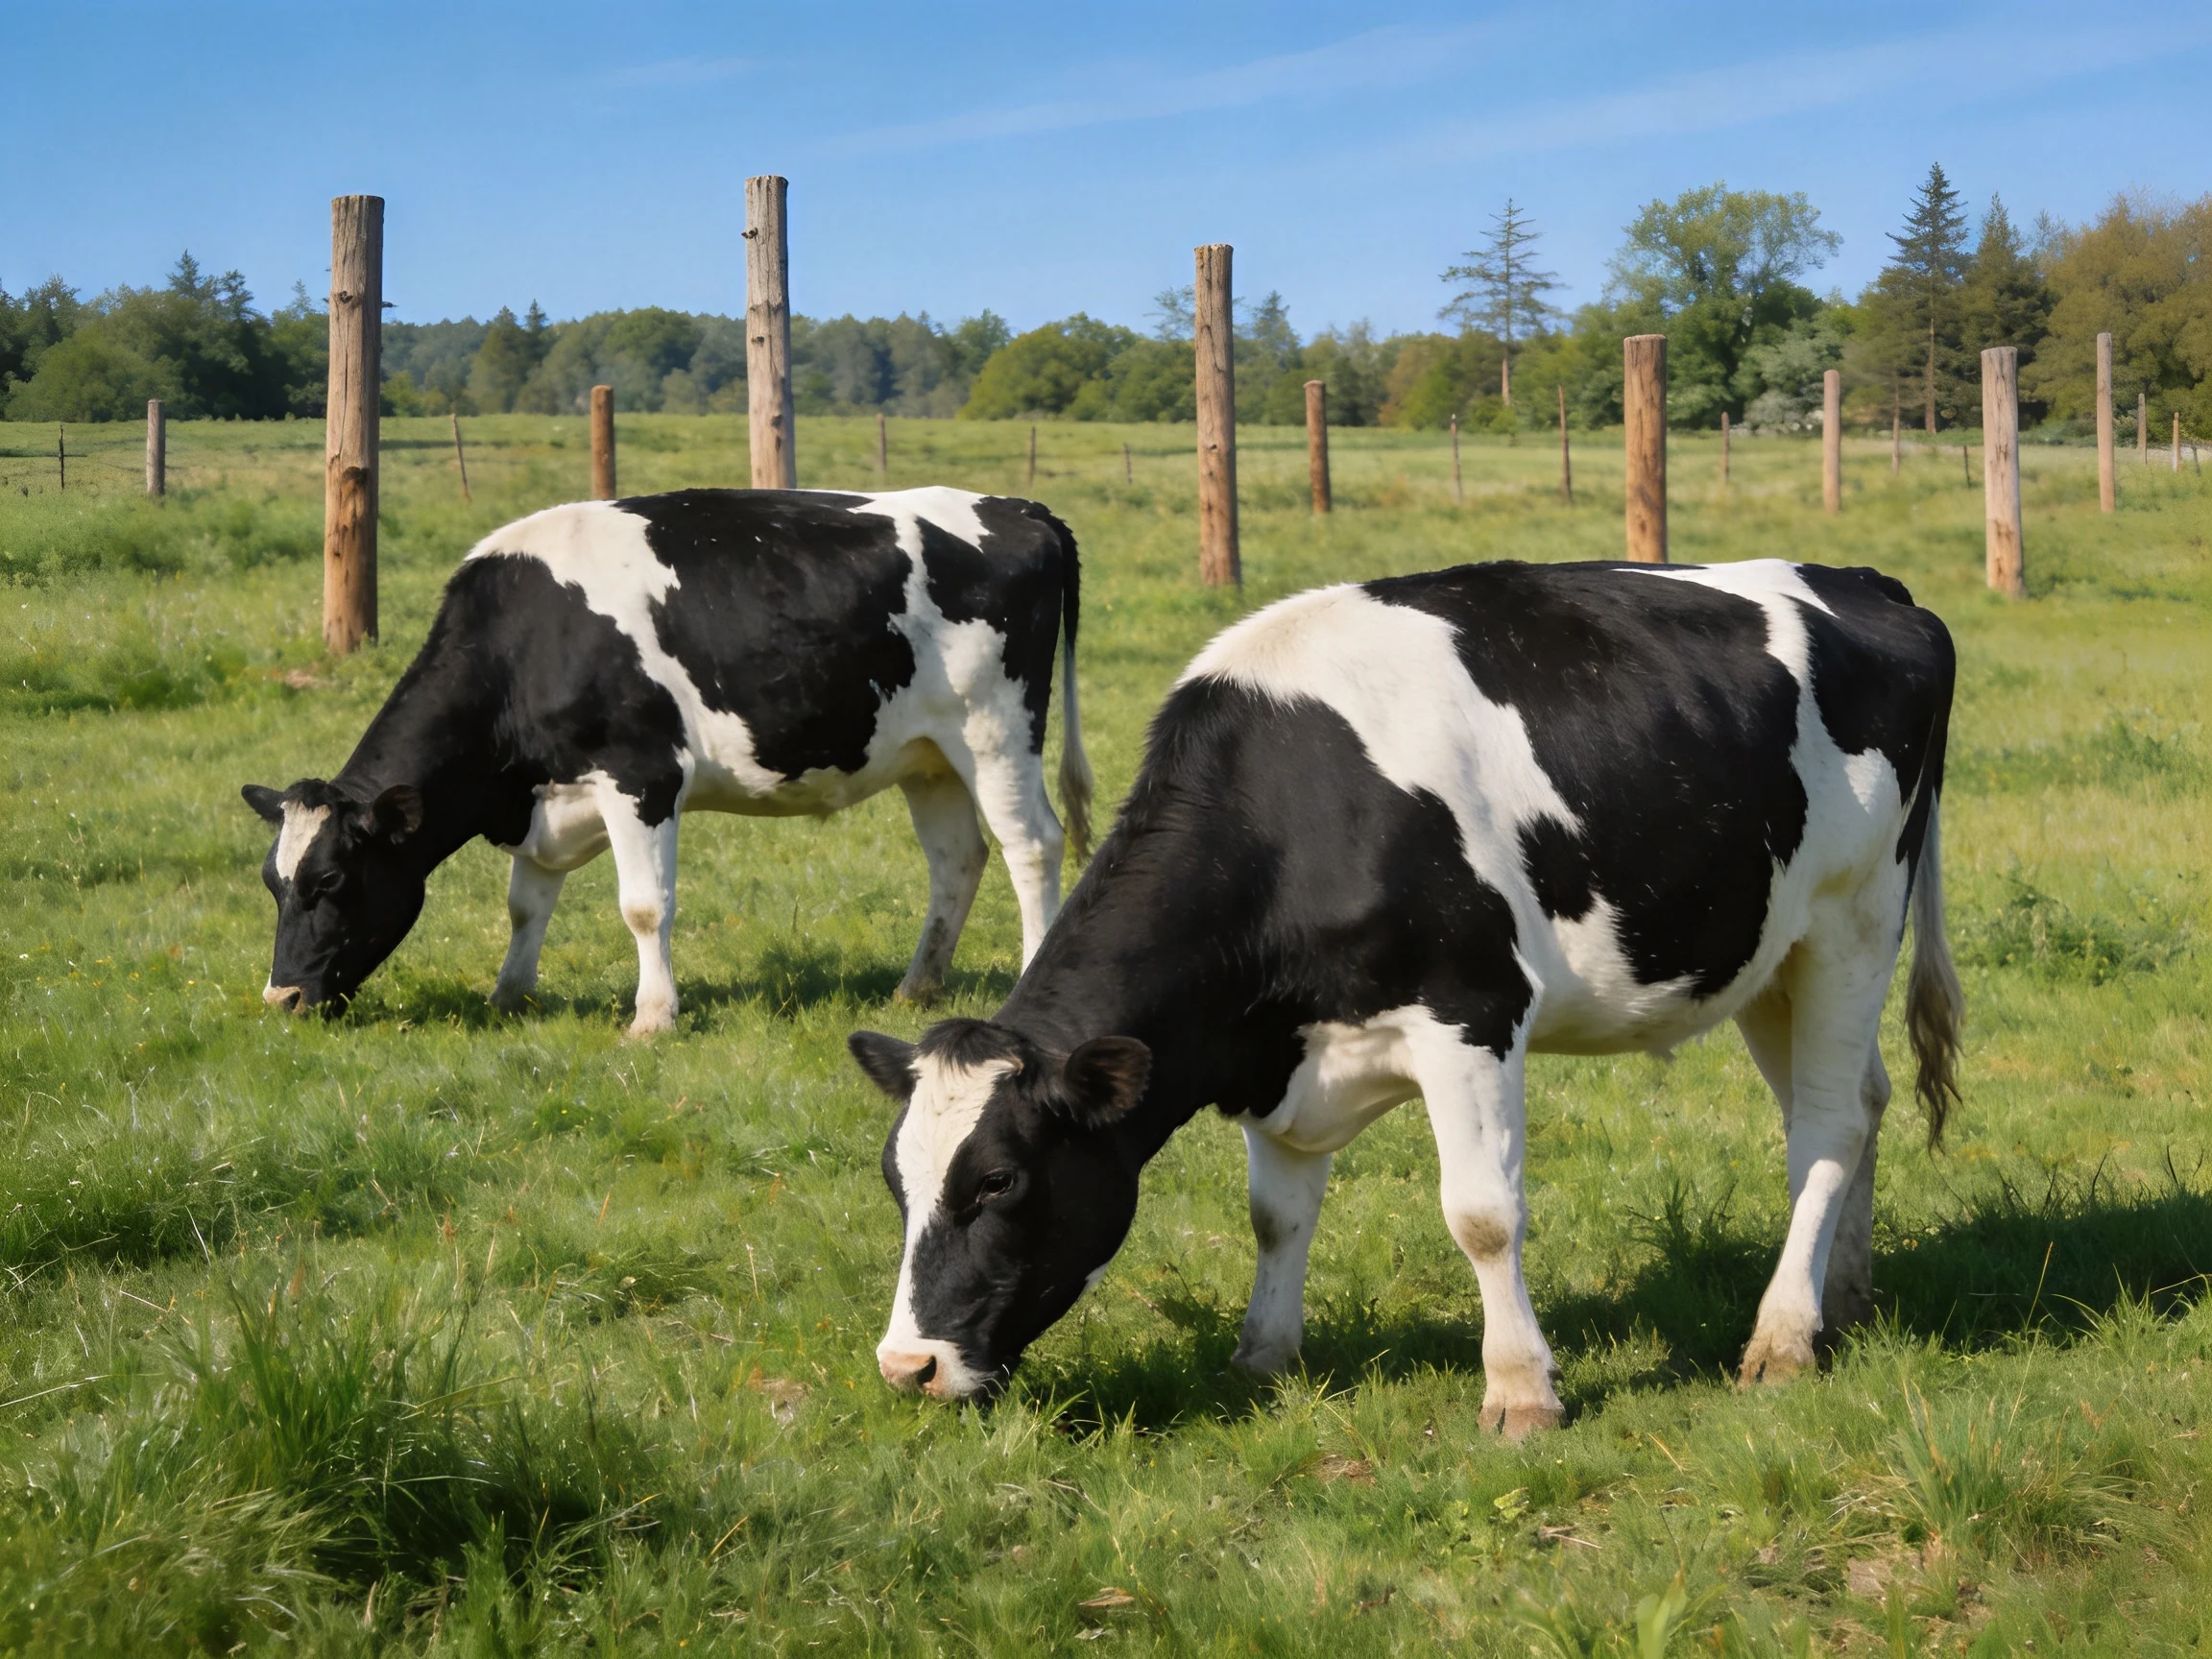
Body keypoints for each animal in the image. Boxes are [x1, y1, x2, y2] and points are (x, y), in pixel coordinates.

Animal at [243, 486, 1093, 1035]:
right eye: (272, 885)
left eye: (331, 882)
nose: (281, 1000)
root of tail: (1020, 509)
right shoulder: (548, 799)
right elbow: (526, 904)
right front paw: (510, 997)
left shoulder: (641, 778)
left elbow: (644, 906)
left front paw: (653, 1018)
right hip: (929, 756)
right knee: (957, 859)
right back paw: (916, 989)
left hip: (997, 730)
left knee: (1031, 846)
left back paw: (1025, 977)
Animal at [848, 558, 1963, 1435]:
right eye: (896, 1182)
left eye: (998, 1182)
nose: (907, 1368)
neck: (1297, 811)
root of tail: (1869, 584)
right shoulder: (1274, 1054)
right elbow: (1274, 1216)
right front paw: (1262, 1359)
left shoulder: (1472, 1011)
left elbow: (1482, 1214)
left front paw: (1521, 1393)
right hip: (1769, 953)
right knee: (1853, 1105)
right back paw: (1842, 1301)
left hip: (1856, 916)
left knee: (1824, 1127)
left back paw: (1782, 1339)